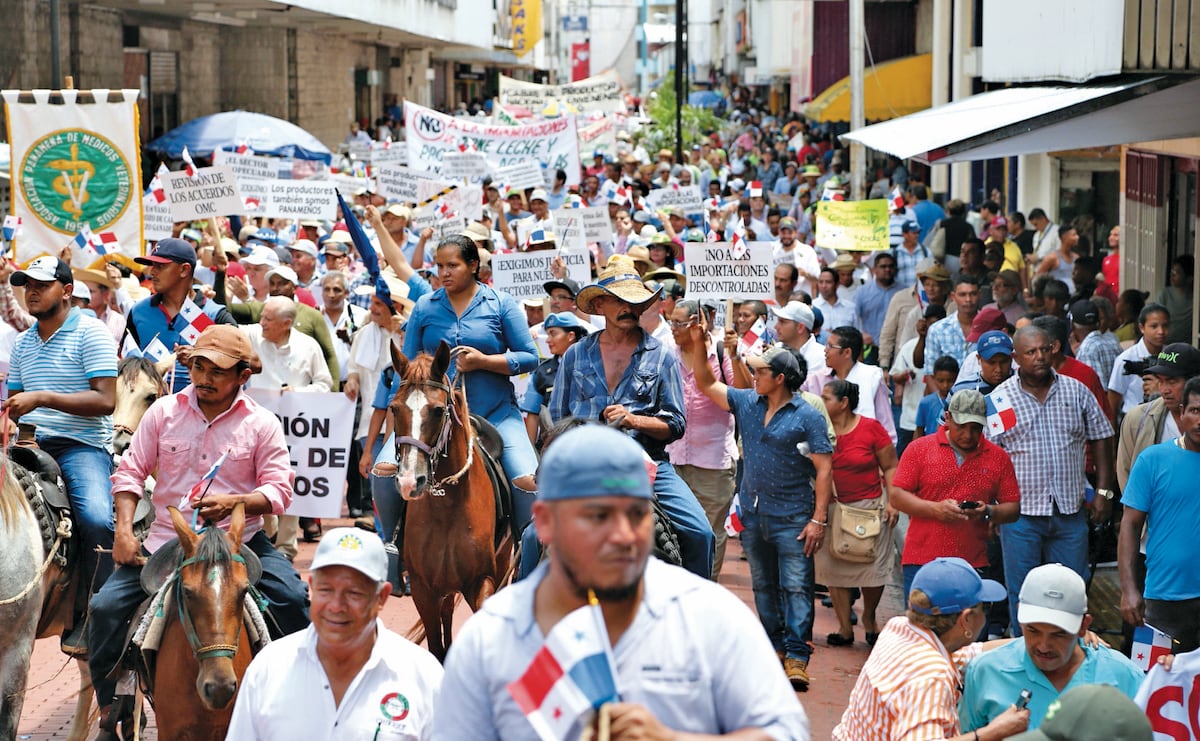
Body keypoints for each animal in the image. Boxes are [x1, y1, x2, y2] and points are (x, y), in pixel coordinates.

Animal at [388, 340, 511, 657]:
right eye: (394, 409)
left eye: (437, 410)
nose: (410, 481)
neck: (447, 507)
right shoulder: (423, 590)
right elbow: (437, 648)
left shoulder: (482, 582)